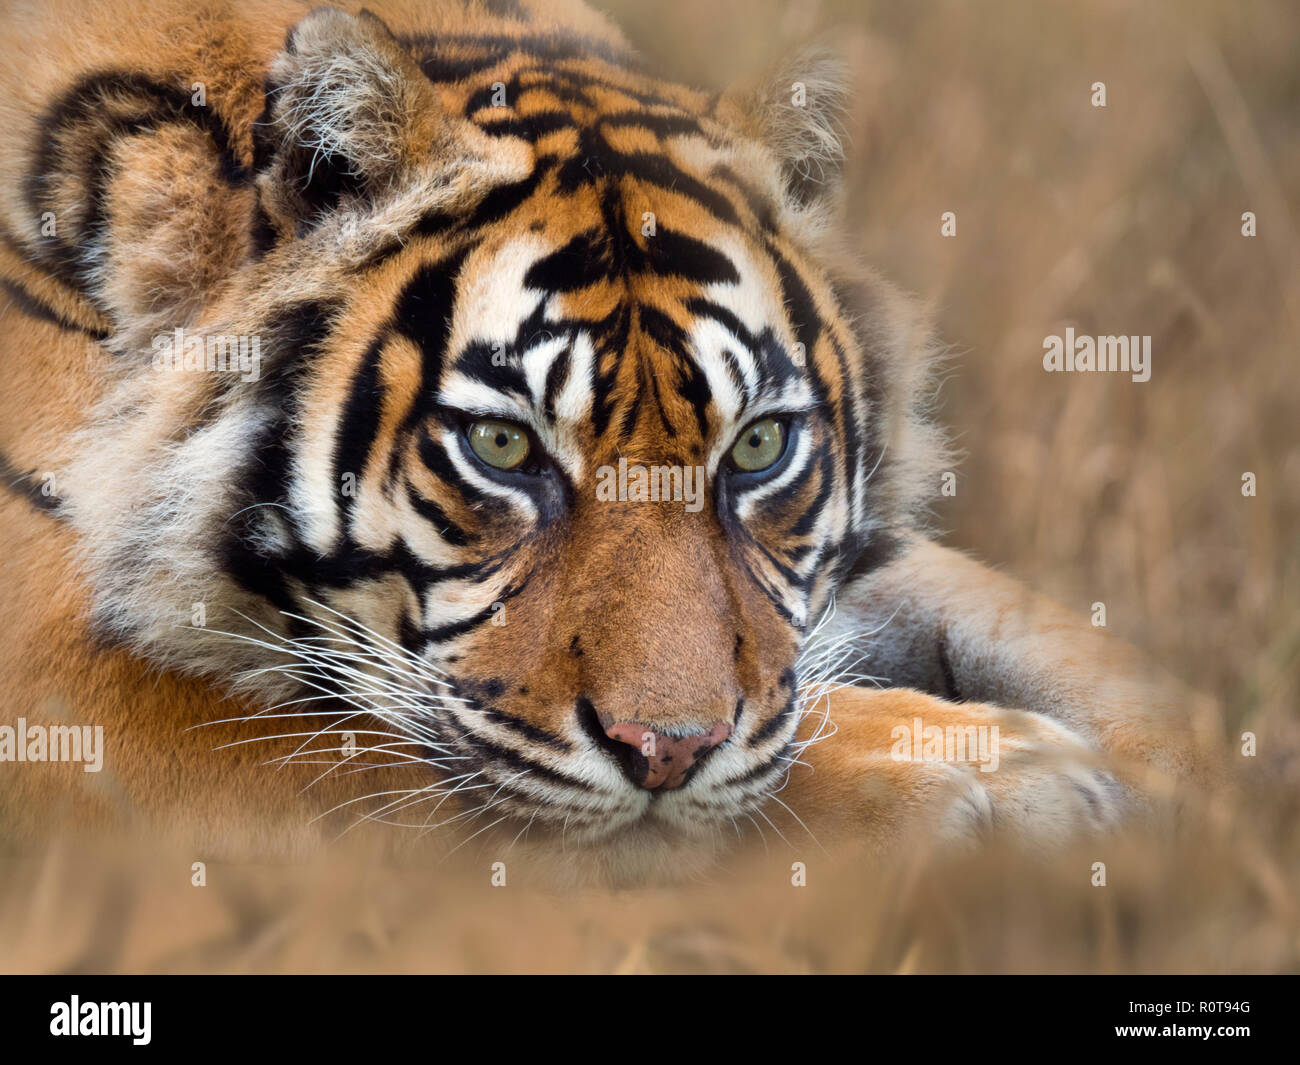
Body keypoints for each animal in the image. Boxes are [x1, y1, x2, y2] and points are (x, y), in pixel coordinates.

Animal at [0, 0, 1214, 885]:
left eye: (758, 448)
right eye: (502, 446)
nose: (664, 751)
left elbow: (1048, 636)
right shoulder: (61, 674)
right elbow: (381, 761)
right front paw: (1000, 780)